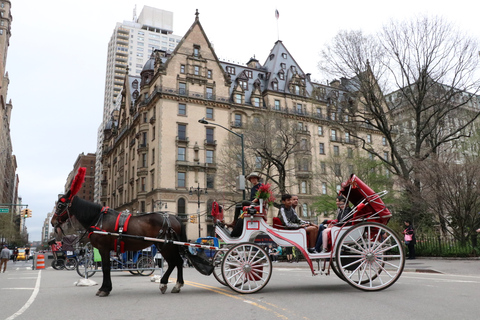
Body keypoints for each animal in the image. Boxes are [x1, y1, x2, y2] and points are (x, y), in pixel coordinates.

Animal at [51, 195, 187, 298]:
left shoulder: (103, 248)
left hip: (166, 246)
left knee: (174, 262)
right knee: (177, 262)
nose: (53, 222)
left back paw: (166, 284)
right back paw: (176, 285)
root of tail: (173, 217)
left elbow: (106, 268)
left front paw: (104, 289)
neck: (99, 219)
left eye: (60, 205)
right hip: (167, 246)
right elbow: (106, 268)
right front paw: (106, 288)